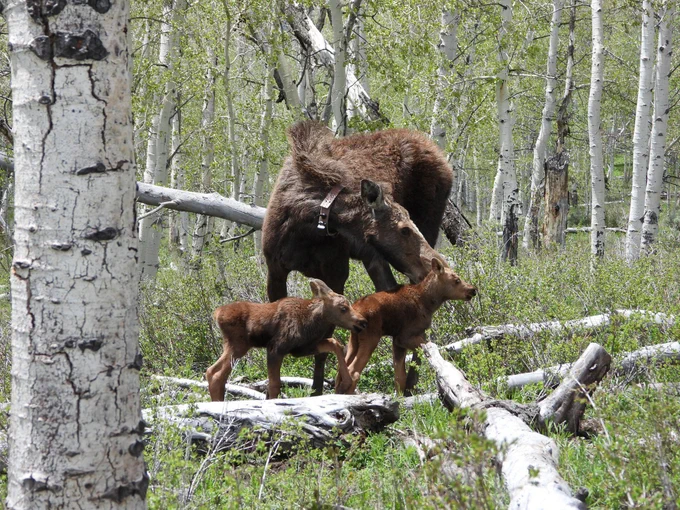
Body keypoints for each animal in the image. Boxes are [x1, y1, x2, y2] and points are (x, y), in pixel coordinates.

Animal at [206, 279, 367, 400]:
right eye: (343, 308)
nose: (362, 322)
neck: (312, 322)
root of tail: (217, 313)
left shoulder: (301, 348)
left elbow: (335, 344)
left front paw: (346, 382)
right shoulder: (276, 348)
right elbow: (274, 385)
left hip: (234, 346)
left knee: (213, 372)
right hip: (238, 345)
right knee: (216, 373)